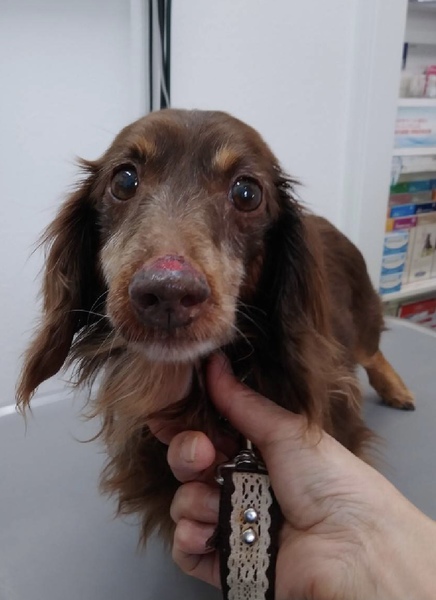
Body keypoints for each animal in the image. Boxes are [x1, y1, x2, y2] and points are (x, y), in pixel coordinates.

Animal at [17, 108, 414, 543]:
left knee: (373, 351)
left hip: (362, 323)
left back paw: (397, 389)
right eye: (123, 180)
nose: (168, 293)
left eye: (247, 193)